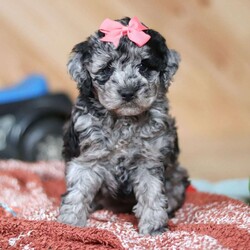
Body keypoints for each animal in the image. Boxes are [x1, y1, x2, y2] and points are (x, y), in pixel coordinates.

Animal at [57, 16, 188, 235]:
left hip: (177, 176)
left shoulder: (149, 159)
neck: (124, 120)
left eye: (144, 66)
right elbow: (78, 191)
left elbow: (151, 192)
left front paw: (154, 226)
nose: (128, 92)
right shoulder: (87, 157)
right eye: (107, 68)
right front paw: (70, 223)